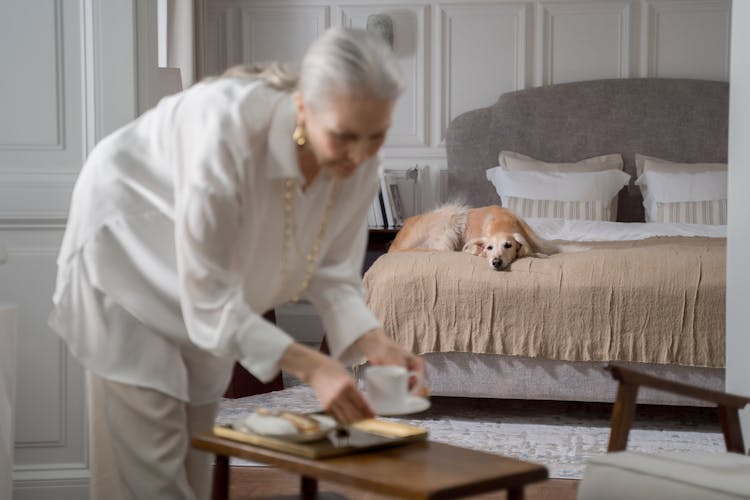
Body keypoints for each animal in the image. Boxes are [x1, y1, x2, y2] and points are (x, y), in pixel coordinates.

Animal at [388, 204, 560, 272]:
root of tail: (394, 245)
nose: (496, 262)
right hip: (451, 214)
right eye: (489, 248)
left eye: (508, 245)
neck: (502, 222)